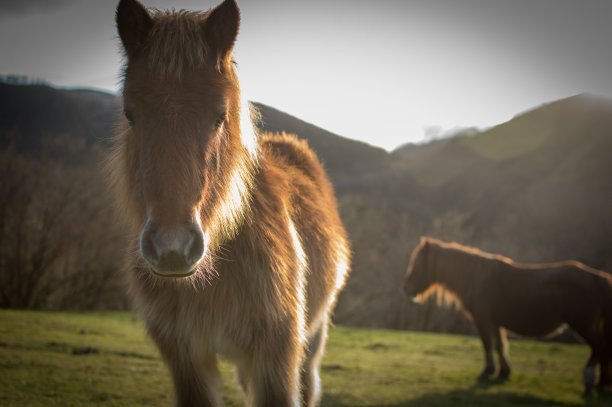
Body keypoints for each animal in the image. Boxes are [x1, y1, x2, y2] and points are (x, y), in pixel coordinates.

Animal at [110, 1, 350, 406]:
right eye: (130, 113)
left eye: (220, 116)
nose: (172, 249)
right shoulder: (187, 361)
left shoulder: (276, 358)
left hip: (312, 337)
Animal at [402, 237, 612, 394]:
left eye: (417, 262)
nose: (406, 289)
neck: (476, 277)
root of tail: (600, 278)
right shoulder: (495, 322)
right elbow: (500, 345)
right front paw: (503, 372)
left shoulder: (483, 320)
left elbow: (488, 344)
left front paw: (487, 372)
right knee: (603, 348)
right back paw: (601, 383)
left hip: (582, 323)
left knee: (599, 345)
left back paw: (589, 379)